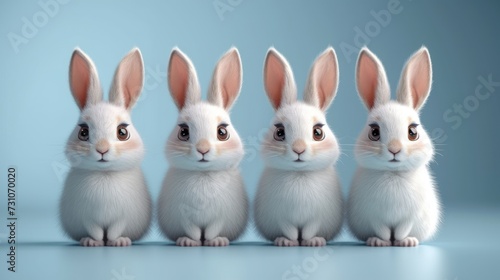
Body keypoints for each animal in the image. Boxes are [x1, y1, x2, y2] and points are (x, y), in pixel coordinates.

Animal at [59, 48, 152, 247]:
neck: (105, 174)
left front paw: (117, 242)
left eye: (123, 132)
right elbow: (94, 229)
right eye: (83, 132)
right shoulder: (87, 216)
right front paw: (93, 243)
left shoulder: (122, 217)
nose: (102, 149)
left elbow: (116, 229)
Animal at [157, 47, 249, 246]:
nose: (203, 149)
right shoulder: (184, 216)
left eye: (222, 132)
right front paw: (189, 242)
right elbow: (191, 229)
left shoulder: (220, 216)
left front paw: (215, 242)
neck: (203, 174)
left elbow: (213, 229)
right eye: (183, 132)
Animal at [254, 48, 344, 247]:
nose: (299, 149)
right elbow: (290, 230)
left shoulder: (317, 217)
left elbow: (310, 229)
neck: (299, 174)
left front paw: (313, 242)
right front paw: (288, 242)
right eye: (279, 132)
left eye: (318, 132)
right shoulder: (281, 217)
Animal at [348, 47, 442, 246]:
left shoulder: (410, 216)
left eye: (413, 132)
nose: (394, 149)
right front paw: (380, 242)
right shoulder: (373, 215)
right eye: (374, 132)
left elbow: (402, 229)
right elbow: (382, 230)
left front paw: (404, 242)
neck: (393, 174)